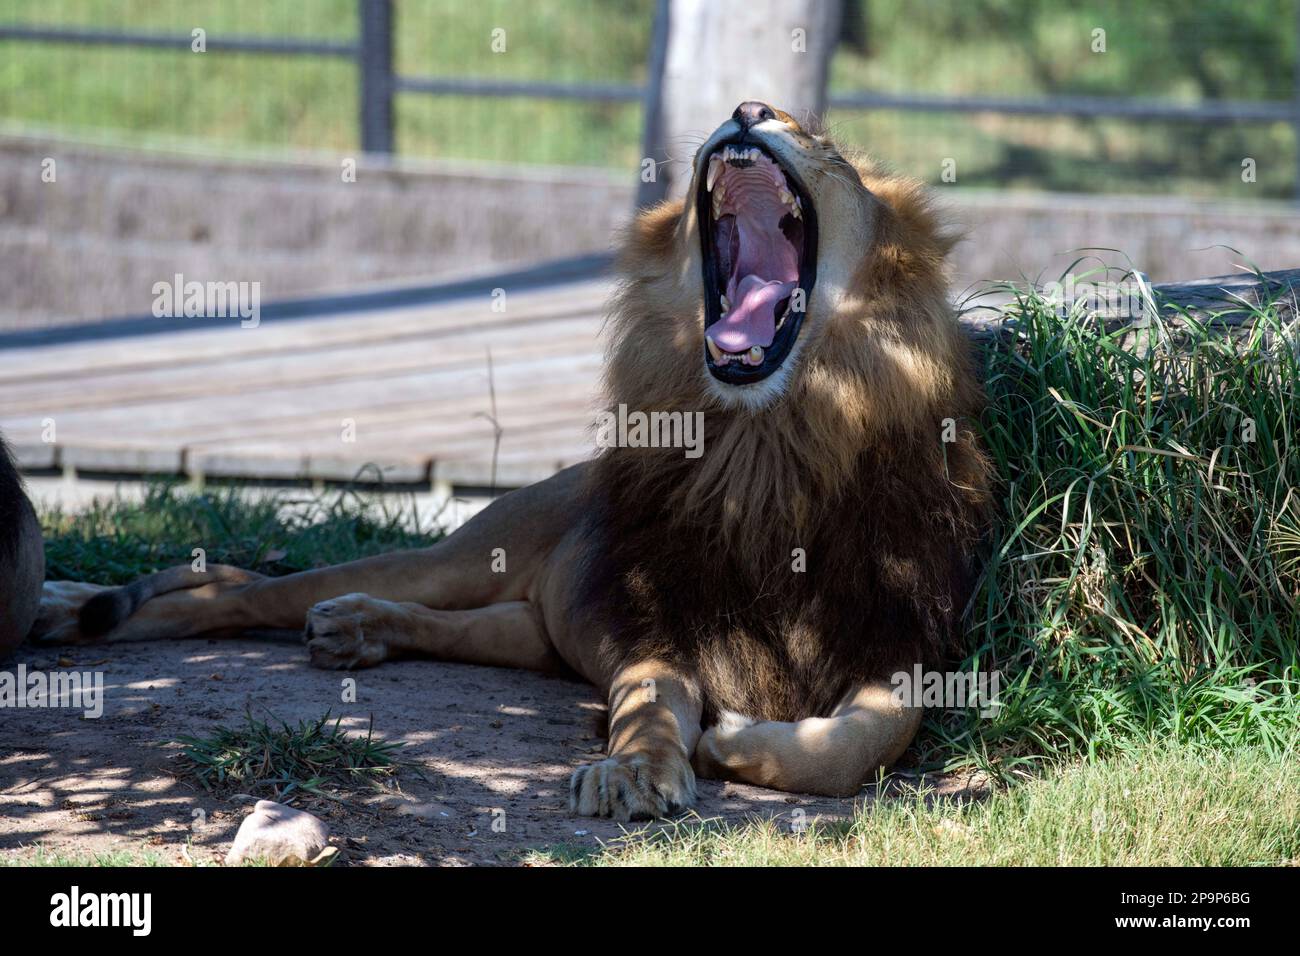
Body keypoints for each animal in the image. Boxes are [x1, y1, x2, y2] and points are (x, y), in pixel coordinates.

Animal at [35, 104, 987, 822]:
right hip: (458, 556)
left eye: (825, 143)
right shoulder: (658, 626)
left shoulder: (899, 638)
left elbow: (861, 744)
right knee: (238, 591)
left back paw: (359, 630)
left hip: (532, 625)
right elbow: (649, 709)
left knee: (449, 626)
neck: (770, 446)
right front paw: (636, 771)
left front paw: (738, 743)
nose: (750, 109)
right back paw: (69, 613)